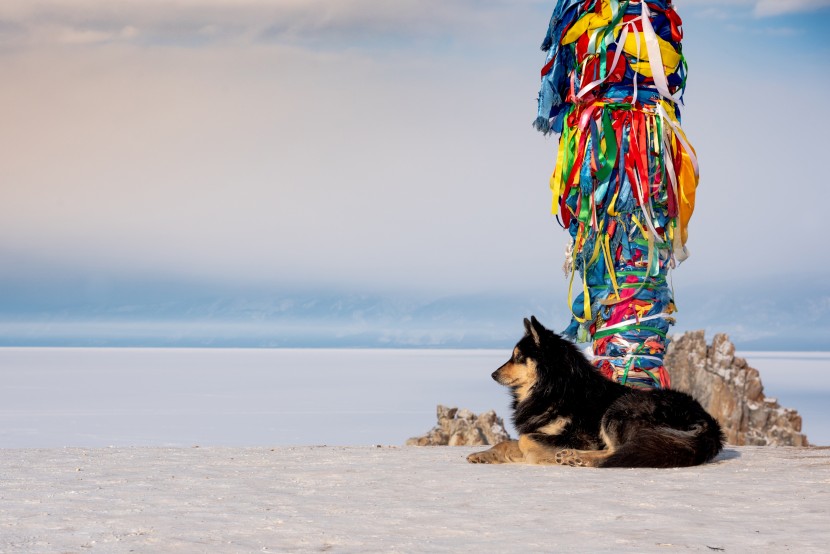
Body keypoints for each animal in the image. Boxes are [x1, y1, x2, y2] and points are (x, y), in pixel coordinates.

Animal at [472, 314, 724, 466]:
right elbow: (507, 442)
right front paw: (483, 455)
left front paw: (539, 457)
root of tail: (708, 422)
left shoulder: (579, 437)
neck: (553, 387)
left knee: (617, 453)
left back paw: (579, 459)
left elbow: (525, 441)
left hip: (619, 410)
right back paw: (571, 457)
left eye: (517, 357)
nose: (493, 374)